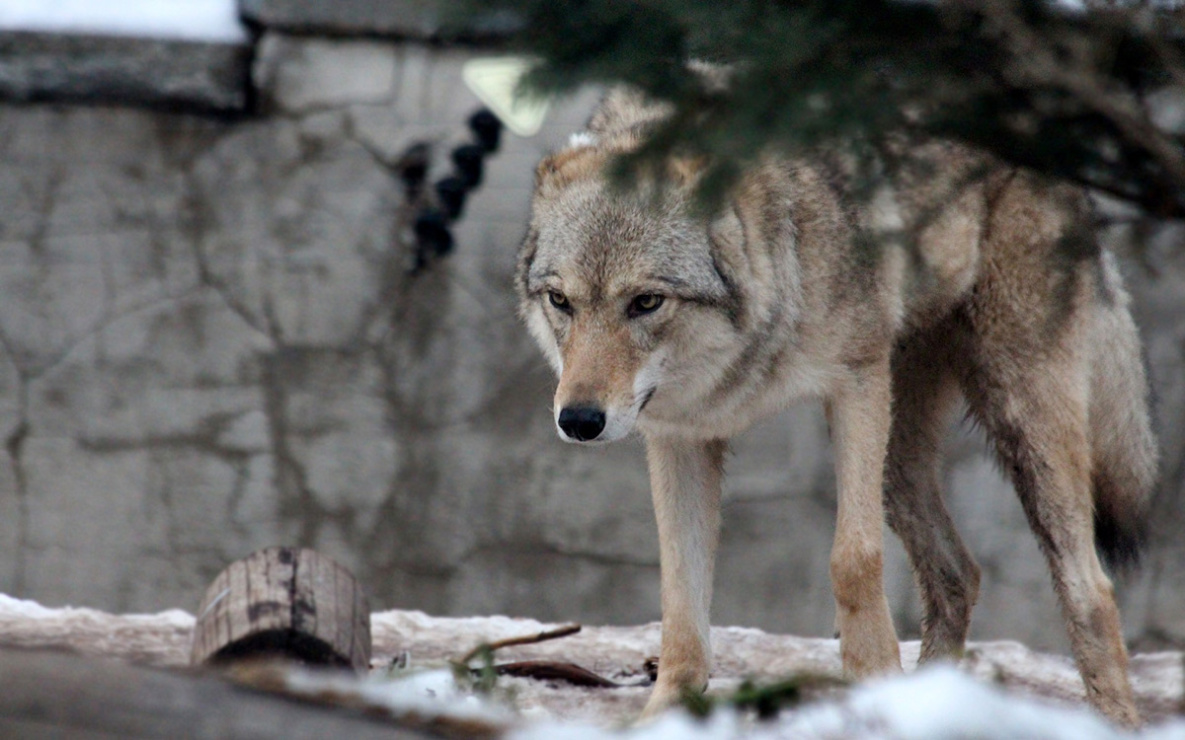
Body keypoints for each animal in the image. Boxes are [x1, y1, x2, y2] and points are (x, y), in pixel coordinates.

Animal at [511, 88, 1156, 730]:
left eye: (646, 302)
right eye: (561, 301)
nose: (579, 421)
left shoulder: (856, 384)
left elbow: (853, 560)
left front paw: (874, 685)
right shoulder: (681, 435)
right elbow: (681, 597)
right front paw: (667, 715)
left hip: (1018, 416)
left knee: (1091, 589)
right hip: (901, 458)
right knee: (958, 573)